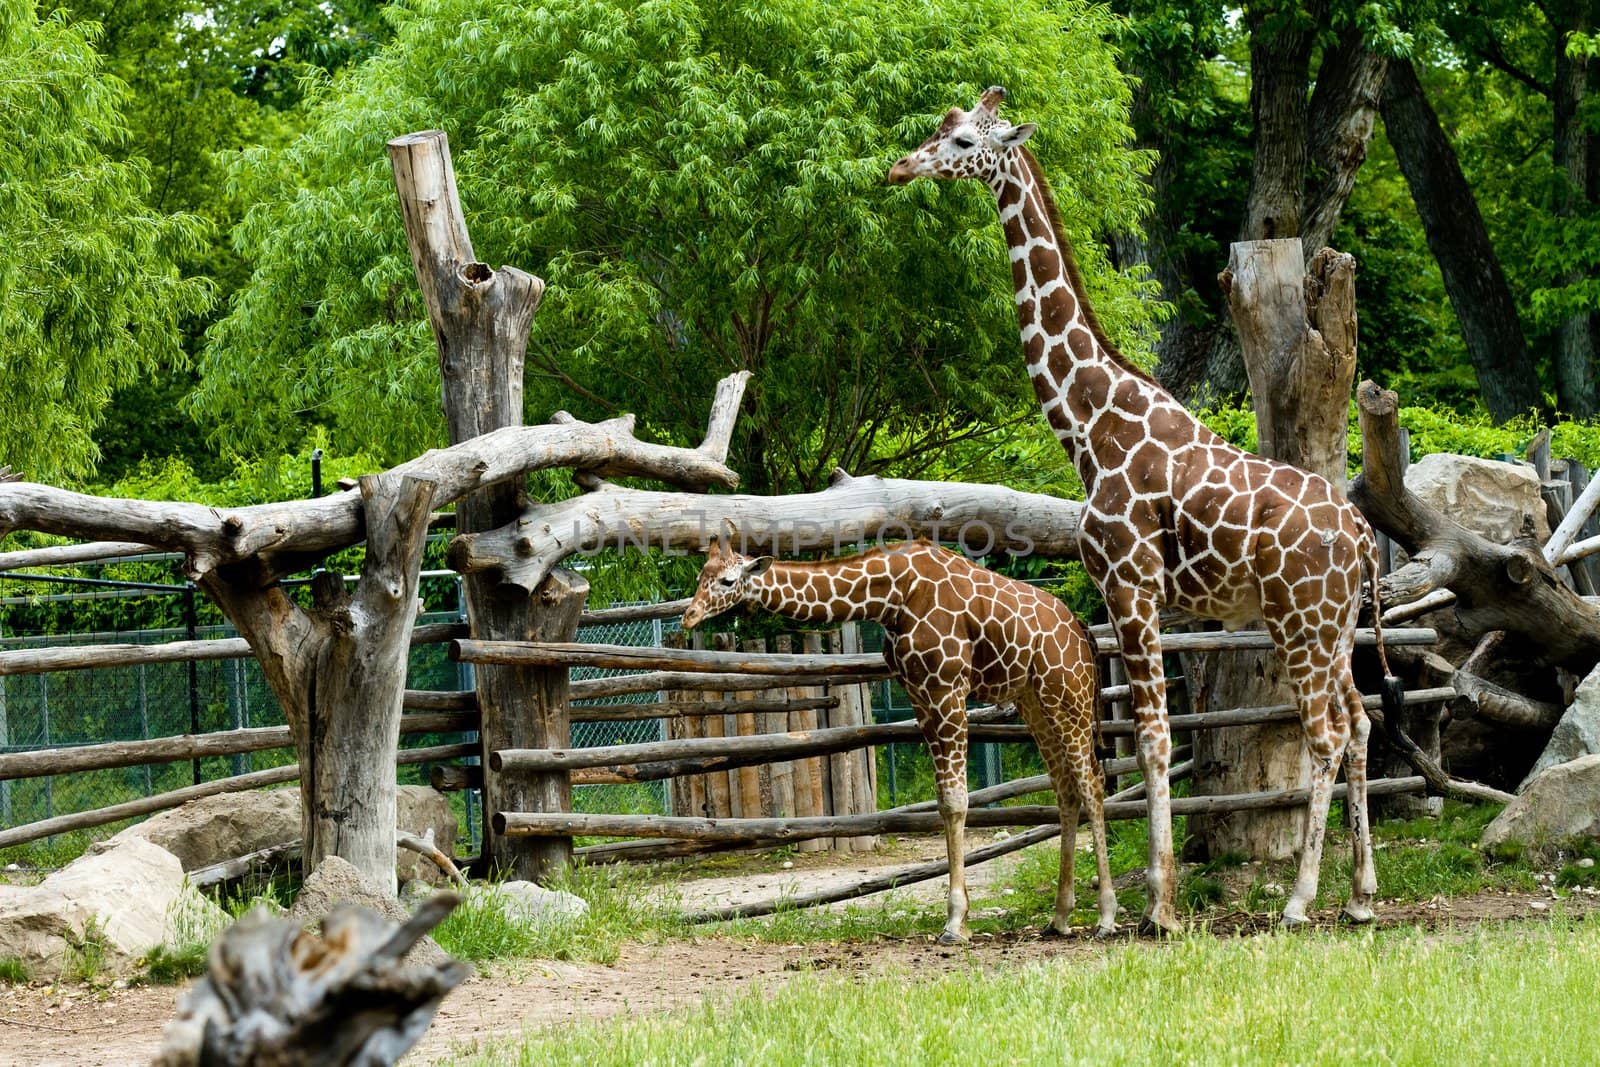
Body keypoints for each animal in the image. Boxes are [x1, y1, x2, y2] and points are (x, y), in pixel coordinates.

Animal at [681, 537, 1120, 947]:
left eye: (727, 580)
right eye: (700, 576)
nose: (689, 616)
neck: (891, 597)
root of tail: (1082, 632)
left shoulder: (948, 689)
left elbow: (957, 800)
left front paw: (955, 923)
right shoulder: (920, 697)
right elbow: (943, 802)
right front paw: (959, 918)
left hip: (1067, 695)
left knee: (1091, 783)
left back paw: (1106, 917)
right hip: (1034, 701)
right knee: (1066, 789)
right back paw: (1060, 918)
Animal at [889, 85, 1401, 934]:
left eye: (962, 141)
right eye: (937, 128)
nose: (900, 167)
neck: (1088, 425)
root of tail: (1362, 533)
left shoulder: (1130, 586)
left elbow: (1156, 739)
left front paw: (1159, 906)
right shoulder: (1132, 595)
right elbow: (1135, 742)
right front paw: (1147, 900)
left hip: (1300, 621)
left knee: (1325, 734)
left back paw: (1298, 900)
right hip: (1332, 627)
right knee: (1360, 722)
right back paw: (1359, 895)